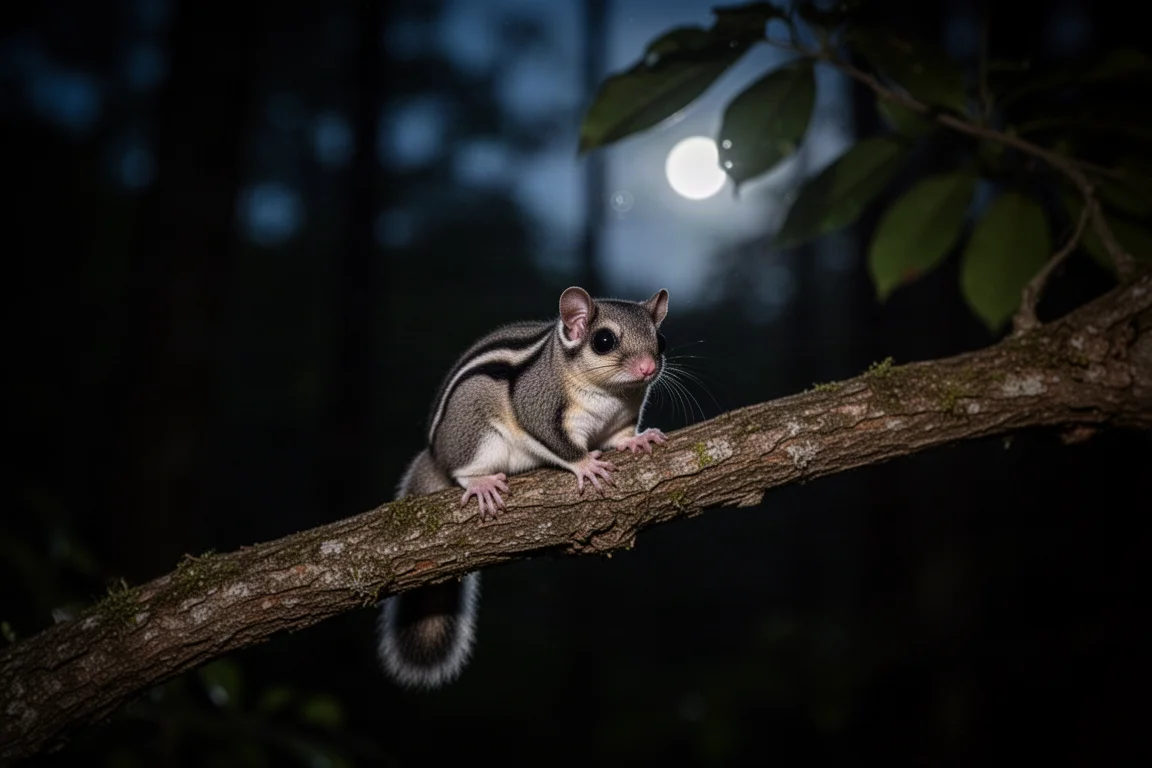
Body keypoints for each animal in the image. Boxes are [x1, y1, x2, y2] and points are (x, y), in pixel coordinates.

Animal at [377, 285, 670, 689]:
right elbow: (556, 440)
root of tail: (434, 455)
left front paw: (639, 440)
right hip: (476, 433)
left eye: (661, 340)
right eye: (604, 341)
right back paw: (481, 483)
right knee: (462, 470)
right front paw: (587, 464)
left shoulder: (621, 418)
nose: (647, 368)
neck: (611, 395)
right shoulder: (539, 406)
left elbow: (622, 436)